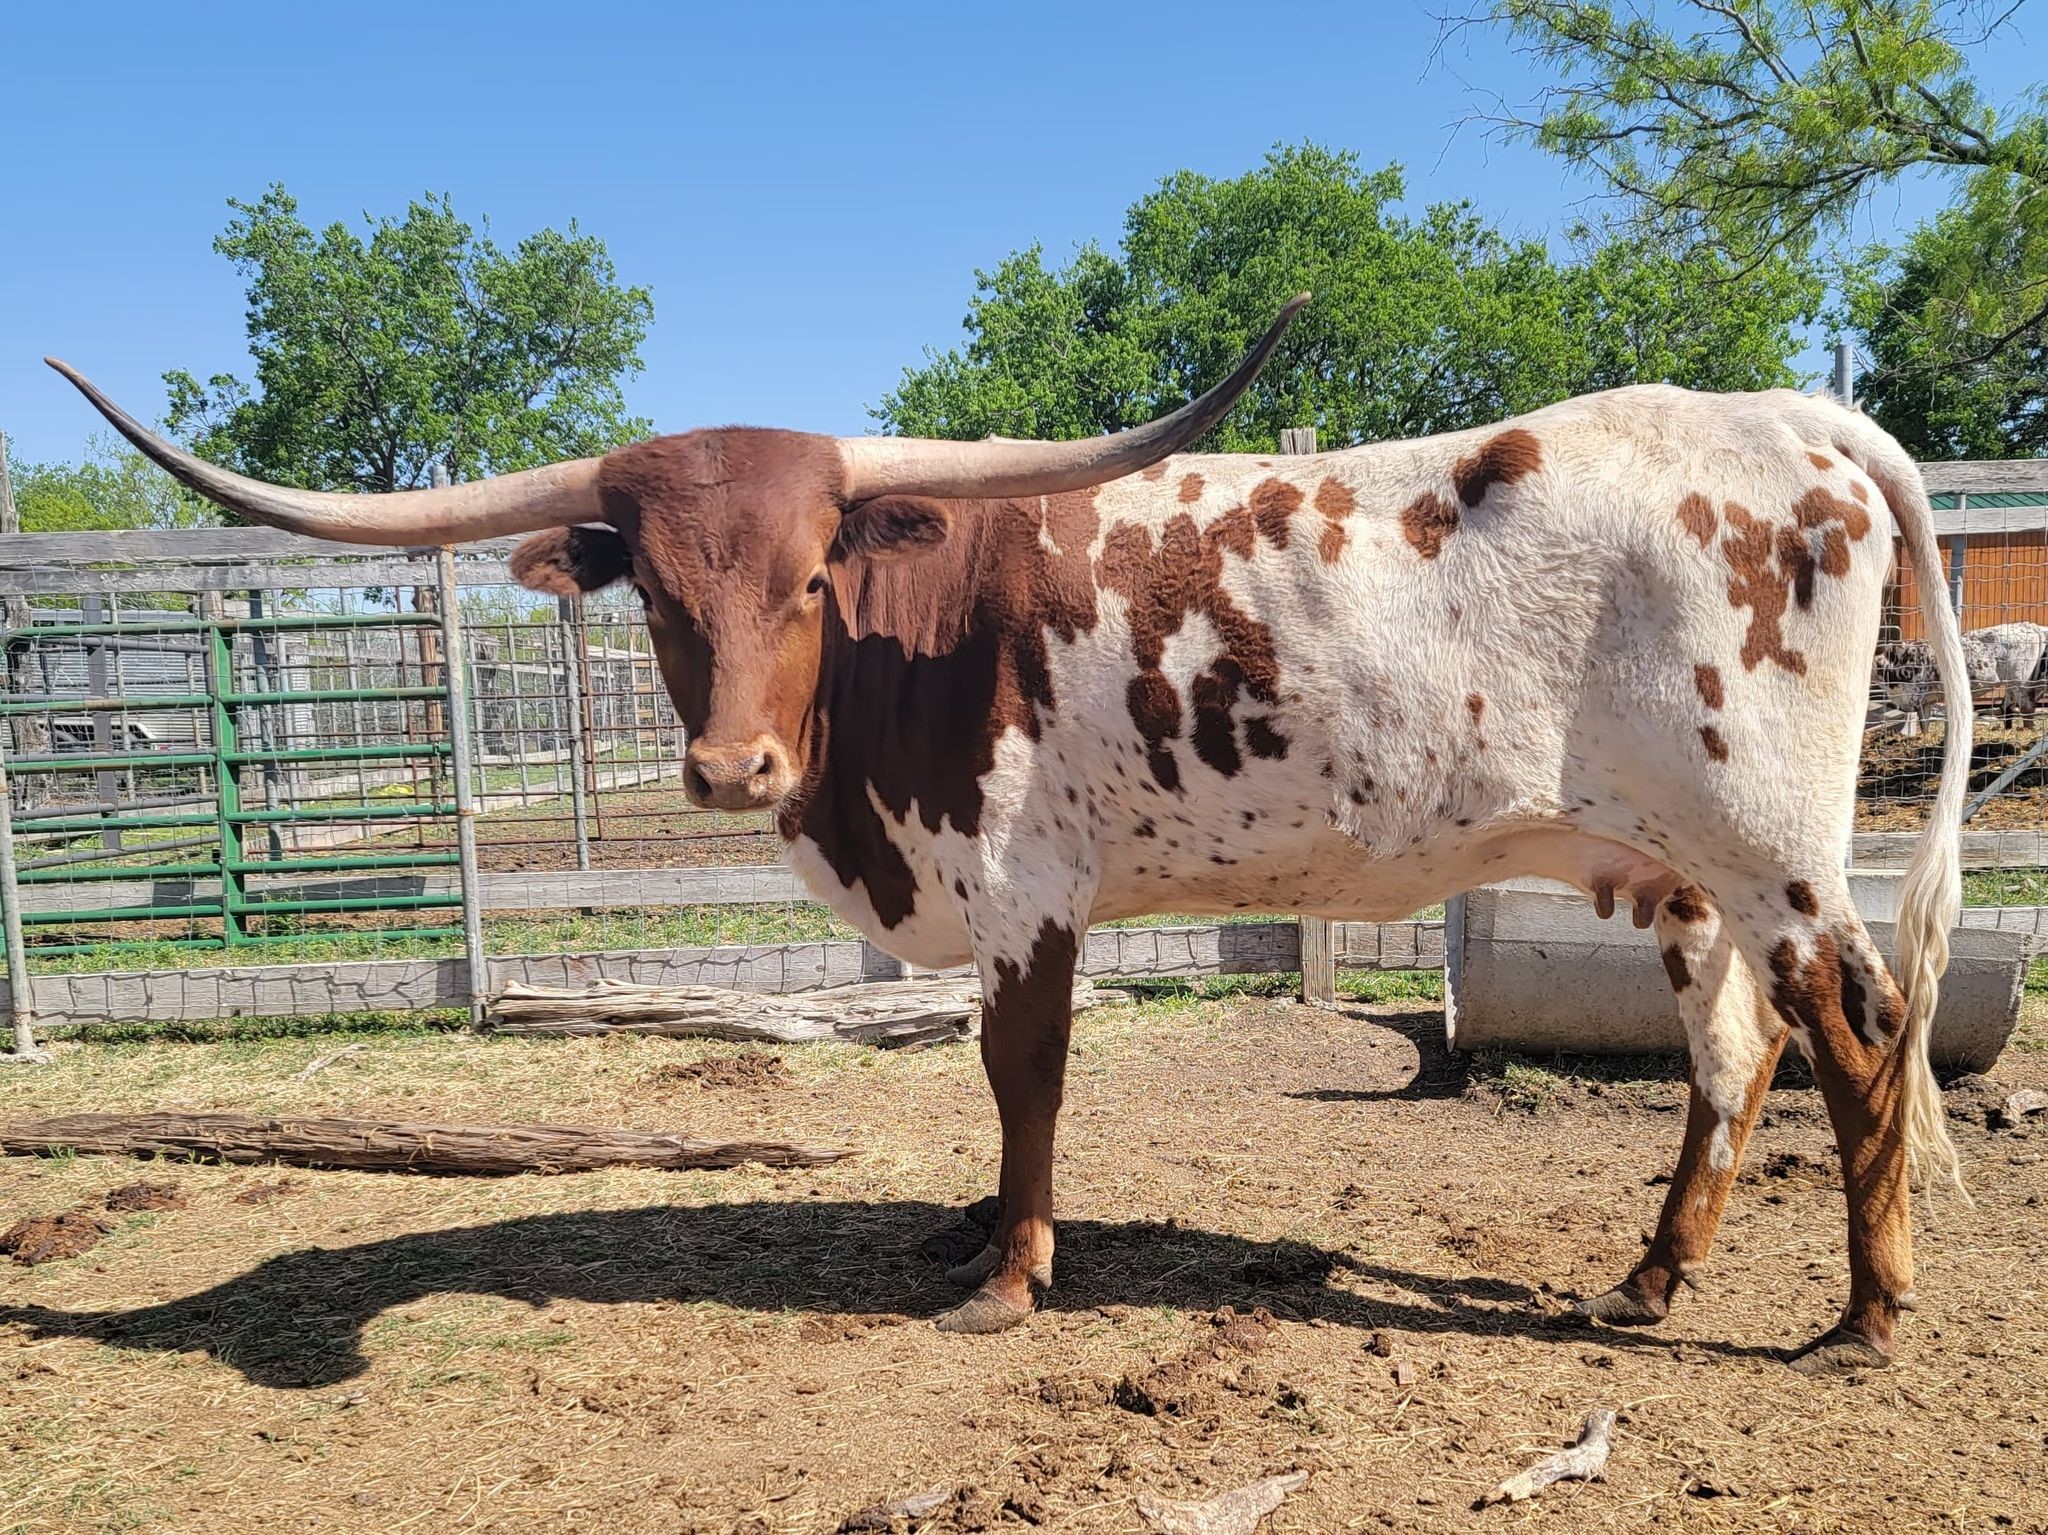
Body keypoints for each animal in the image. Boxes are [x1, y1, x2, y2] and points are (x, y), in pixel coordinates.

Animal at [50, 299, 1971, 1376]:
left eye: (809, 573)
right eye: (653, 592)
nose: (731, 768)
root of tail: (1799, 419)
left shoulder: (1022, 891)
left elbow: (1023, 1077)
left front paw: (1011, 1274)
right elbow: (995, 1083)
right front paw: (976, 1235)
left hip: (1774, 844)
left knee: (1857, 1032)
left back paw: (1867, 1319)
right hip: (1682, 870)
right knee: (1730, 1050)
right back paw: (1648, 1279)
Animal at [1878, 621, 2048, 735]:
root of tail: (2030, 626)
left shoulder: (1915, 696)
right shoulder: (1924, 701)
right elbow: (1924, 724)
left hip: (2020, 679)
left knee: (2027, 707)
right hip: (2015, 683)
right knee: (2008, 707)